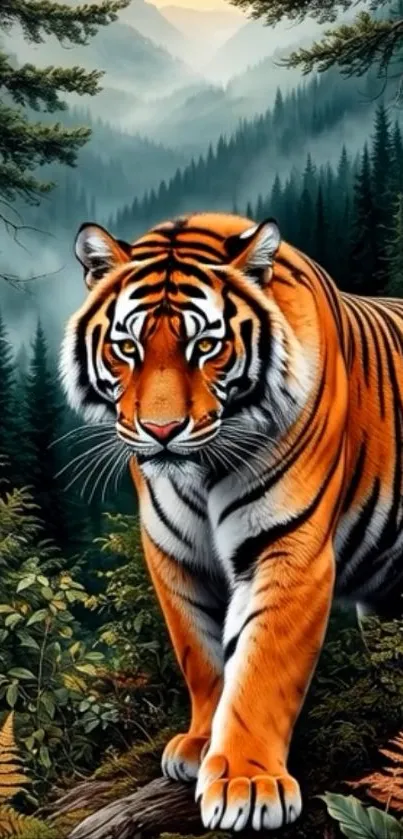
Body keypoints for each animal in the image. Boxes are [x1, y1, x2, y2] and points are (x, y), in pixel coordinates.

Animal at [61, 211, 403, 832]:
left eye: (206, 346)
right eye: (127, 346)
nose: (162, 430)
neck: (200, 470)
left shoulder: (289, 548)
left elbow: (262, 665)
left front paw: (247, 783)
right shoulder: (174, 554)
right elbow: (201, 655)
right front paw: (200, 745)